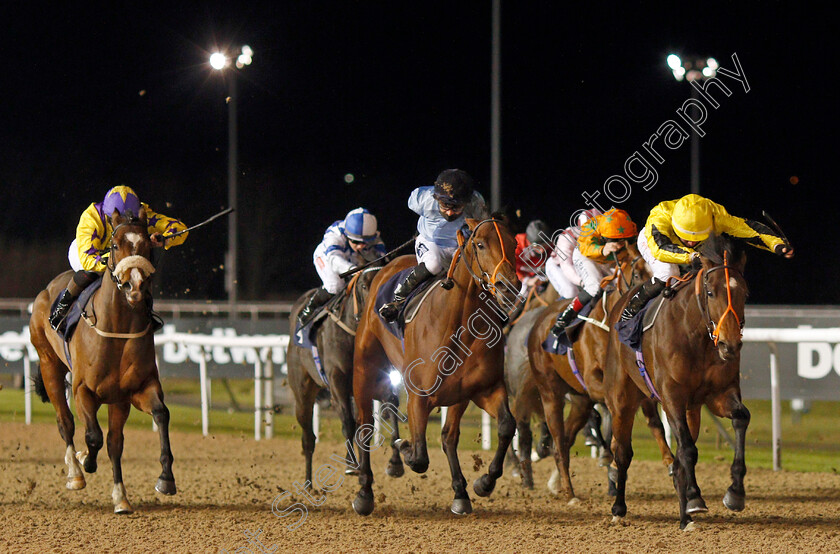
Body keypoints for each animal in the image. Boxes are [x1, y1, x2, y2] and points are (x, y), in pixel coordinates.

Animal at [28, 209, 176, 512]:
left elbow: (155, 417)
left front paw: (161, 480)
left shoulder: (133, 391)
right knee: (65, 421)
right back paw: (75, 472)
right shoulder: (83, 389)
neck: (117, 328)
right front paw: (86, 460)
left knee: (112, 439)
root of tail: (47, 289)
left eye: (148, 245)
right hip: (49, 364)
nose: (134, 286)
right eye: (115, 245)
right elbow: (93, 436)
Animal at [288, 264, 406, 484]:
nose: (380, 310)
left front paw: (395, 463)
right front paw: (352, 464)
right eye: (364, 285)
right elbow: (349, 423)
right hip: (303, 392)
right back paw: (308, 483)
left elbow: (390, 405)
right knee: (308, 438)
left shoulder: (378, 380)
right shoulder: (337, 383)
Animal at [348, 216, 520, 512]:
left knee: (449, 436)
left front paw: (481, 483)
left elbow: (505, 426)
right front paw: (401, 447)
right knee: (364, 426)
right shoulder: (418, 396)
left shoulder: (482, 390)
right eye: (480, 244)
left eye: (514, 244)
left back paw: (461, 492)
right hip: (364, 368)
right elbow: (418, 457)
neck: (459, 326)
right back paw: (364, 492)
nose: (509, 287)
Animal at [528, 239, 672, 502]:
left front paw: (669, 461)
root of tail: (539, 322)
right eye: (637, 274)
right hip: (550, 393)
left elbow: (654, 421)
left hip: (579, 401)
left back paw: (559, 482)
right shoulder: (596, 382)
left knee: (565, 440)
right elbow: (614, 412)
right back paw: (569, 492)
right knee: (558, 440)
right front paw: (611, 459)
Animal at [604, 233, 748, 528]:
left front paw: (734, 492)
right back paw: (619, 507)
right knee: (622, 451)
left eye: (745, 293)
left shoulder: (719, 394)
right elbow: (687, 449)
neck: (696, 335)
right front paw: (693, 499)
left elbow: (740, 419)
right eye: (710, 292)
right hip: (621, 398)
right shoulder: (671, 397)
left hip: (693, 408)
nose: (729, 345)